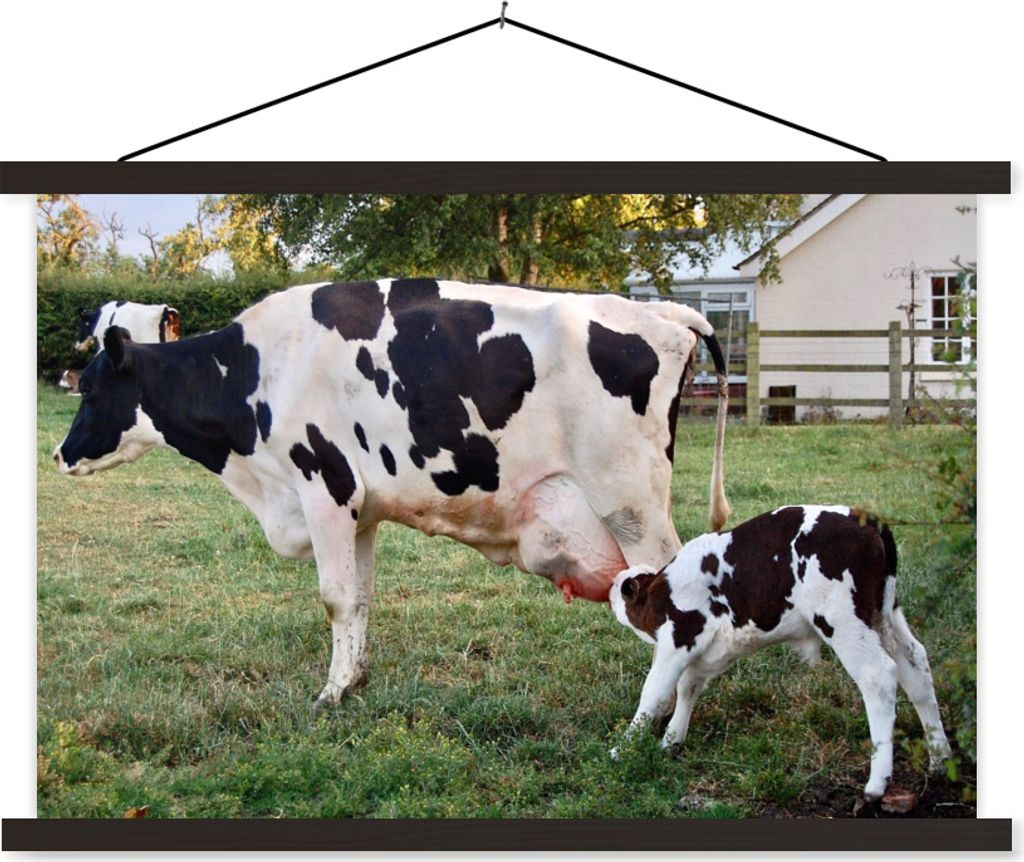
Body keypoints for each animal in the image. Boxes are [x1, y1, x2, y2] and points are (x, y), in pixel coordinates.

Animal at [55, 278, 730, 708]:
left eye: (90, 389)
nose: (59, 454)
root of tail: (663, 313)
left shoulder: (322, 487)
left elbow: (333, 597)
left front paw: (329, 694)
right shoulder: (359, 511)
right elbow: (358, 598)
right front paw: (352, 681)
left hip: (631, 507)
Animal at [608, 505, 952, 800]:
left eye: (627, 589)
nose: (612, 583)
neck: (663, 590)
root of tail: (865, 519)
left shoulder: (680, 637)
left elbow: (654, 692)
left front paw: (624, 747)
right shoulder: (705, 650)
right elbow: (687, 687)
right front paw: (671, 740)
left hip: (844, 623)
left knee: (878, 676)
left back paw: (877, 783)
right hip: (885, 615)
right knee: (915, 667)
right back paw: (940, 758)